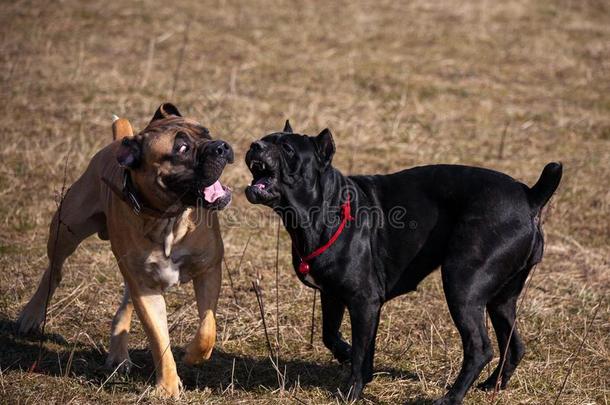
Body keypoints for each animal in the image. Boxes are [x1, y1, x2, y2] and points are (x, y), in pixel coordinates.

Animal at [17, 102, 233, 396]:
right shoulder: (146, 289)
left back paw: (119, 356)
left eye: (206, 132)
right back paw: (31, 315)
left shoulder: (208, 269)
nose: (221, 146)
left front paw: (192, 355)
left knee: (123, 307)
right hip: (67, 230)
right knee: (55, 270)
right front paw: (167, 387)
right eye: (182, 148)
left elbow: (207, 327)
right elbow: (158, 339)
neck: (168, 218)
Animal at [243, 121, 560, 402]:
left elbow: (360, 350)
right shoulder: (334, 296)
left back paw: (450, 398)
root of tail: (530, 197)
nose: (254, 144)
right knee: (513, 344)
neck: (325, 208)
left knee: (479, 348)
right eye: (264, 138)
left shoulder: (363, 301)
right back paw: (492, 385)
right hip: (500, 298)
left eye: (287, 149)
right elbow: (332, 335)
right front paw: (351, 361)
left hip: (463, 285)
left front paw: (351, 391)